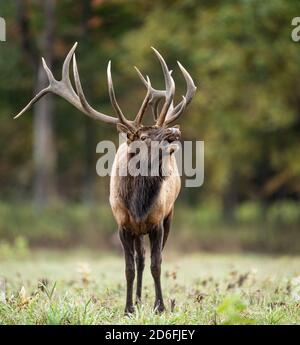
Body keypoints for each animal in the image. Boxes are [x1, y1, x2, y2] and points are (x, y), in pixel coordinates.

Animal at [14, 41, 197, 314]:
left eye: (161, 130)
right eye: (144, 136)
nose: (174, 130)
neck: (138, 205)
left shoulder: (157, 221)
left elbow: (157, 265)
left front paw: (160, 307)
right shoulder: (122, 224)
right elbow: (129, 268)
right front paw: (128, 308)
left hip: (169, 215)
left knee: (151, 259)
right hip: (138, 230)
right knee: (140, 260)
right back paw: (138, 300)